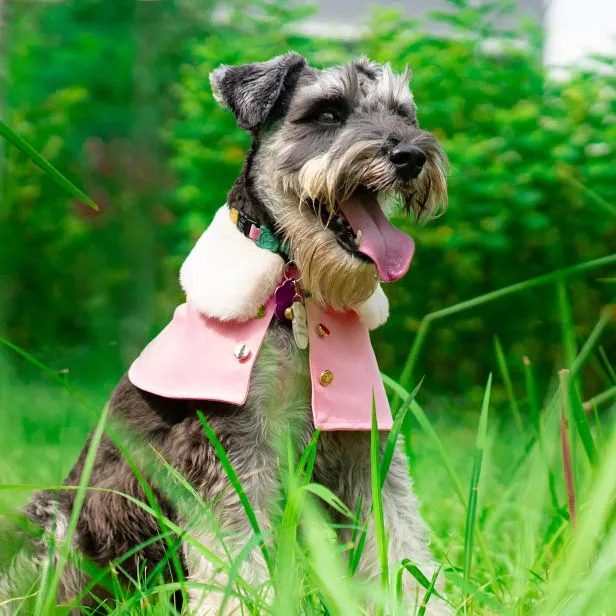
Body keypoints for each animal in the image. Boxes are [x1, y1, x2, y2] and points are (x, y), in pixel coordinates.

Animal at [2, 54, 450, 616]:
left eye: (404, 113)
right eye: (327, 112)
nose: (410, 154)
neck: (294, 299)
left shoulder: (361, 442)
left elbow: (400, 540)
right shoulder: (228, 447)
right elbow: (237, 552)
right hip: (54, 522)